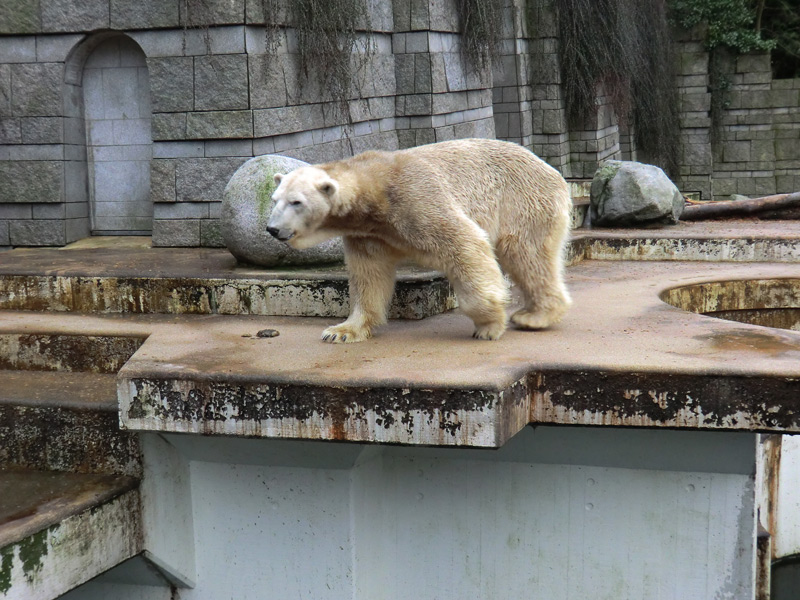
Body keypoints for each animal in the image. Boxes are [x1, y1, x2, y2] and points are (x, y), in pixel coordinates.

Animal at [268, 137, 568, 342]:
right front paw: (340, 331)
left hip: (523, 202)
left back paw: (534, 317)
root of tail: (552, 170)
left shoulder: (417, 201)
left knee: (527, 255)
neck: (375, 192)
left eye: (296, 202)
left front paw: (488, 325)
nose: (272, 228)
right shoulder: (367, 233)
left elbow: (466, 244)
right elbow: (368, 276)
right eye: (274, 199)